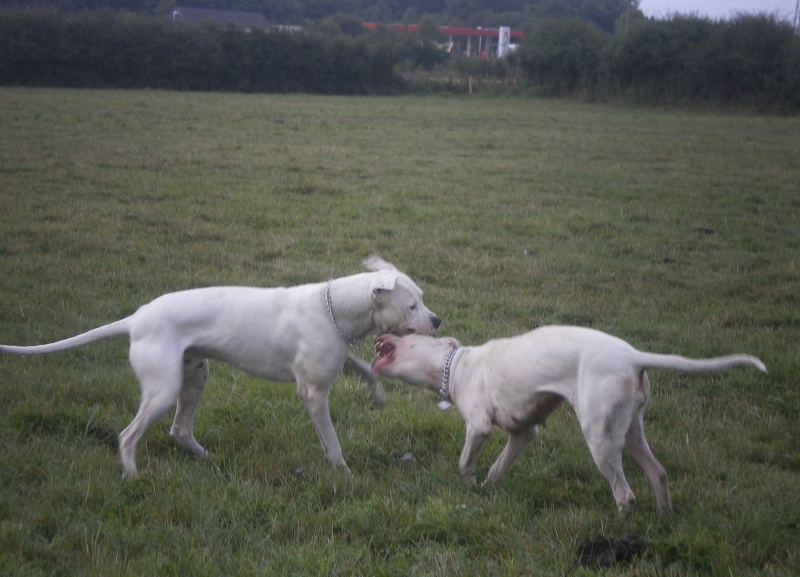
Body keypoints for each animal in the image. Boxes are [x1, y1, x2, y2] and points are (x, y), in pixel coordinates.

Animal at [0, 256, 440, 476]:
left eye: (422, 299)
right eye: (412, 305)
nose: (436, 320)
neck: (334, 307)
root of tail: (135, 319)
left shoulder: (335, 356)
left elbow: (364, 367)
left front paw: (378, 396)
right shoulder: (314, 392)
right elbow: (331, 441)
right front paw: (343, 472)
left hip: (194, 376)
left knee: (179, 429)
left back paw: (204, 458)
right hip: (162, 390)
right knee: (127, 435)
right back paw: (133, 478)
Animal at [372, 326, 764, 516]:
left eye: (407, 336)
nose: (380, 335)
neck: (456, 364)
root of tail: (633, 356)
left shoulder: (479, 427)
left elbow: (464, 462)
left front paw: (468, 487)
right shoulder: (523, 432)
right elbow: (498, 468)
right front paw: (486, 491)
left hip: (599, 437)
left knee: (625, 493)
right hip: (630, 430)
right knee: (659, 473)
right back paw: (665, 519)